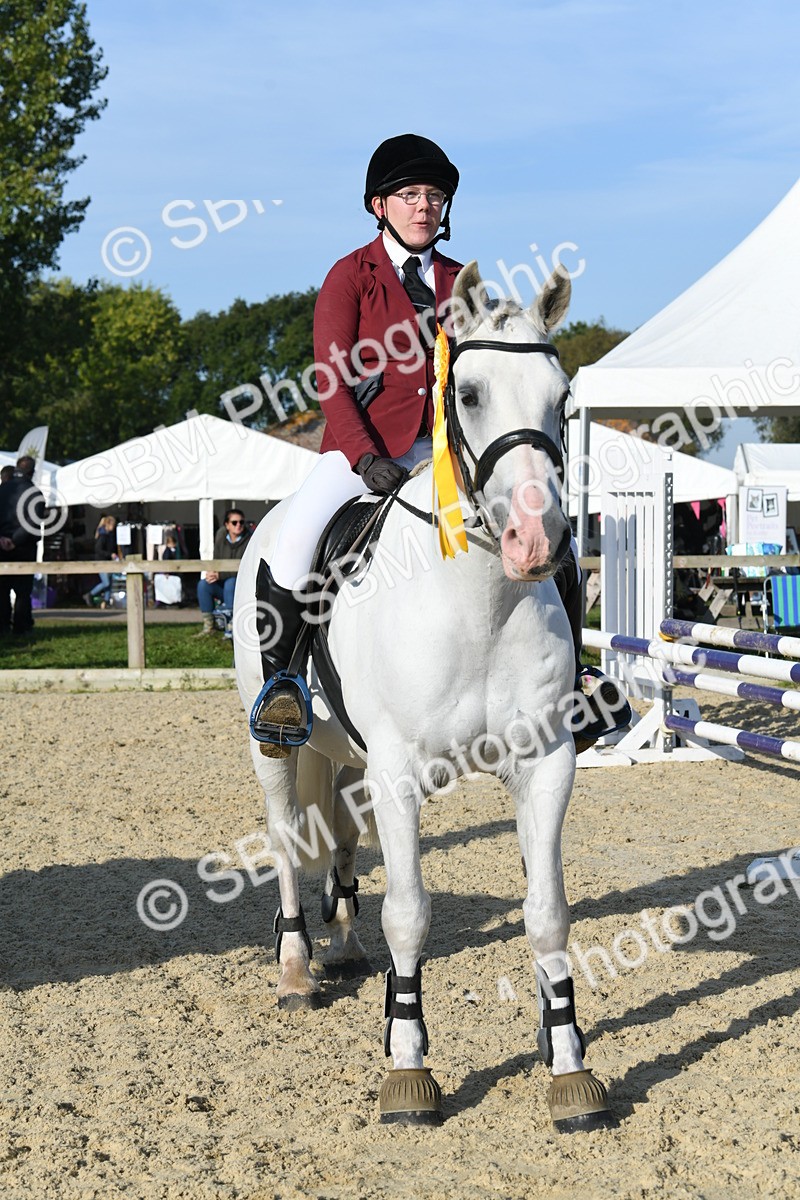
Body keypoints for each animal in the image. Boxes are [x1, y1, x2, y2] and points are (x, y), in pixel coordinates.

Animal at [233, 261, 614, 1132]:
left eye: (563, 400)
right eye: (466, 393)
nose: (538, 543)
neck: (479, 601)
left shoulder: (546, 763)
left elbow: (548, 911)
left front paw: (567, 1063)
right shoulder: (400, 771)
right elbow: (410, 910)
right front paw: (408, 1067)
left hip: (348, 756)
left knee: (341, 838)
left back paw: (346, 943)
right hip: (275, 745)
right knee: (286, 838)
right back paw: (298, 968)